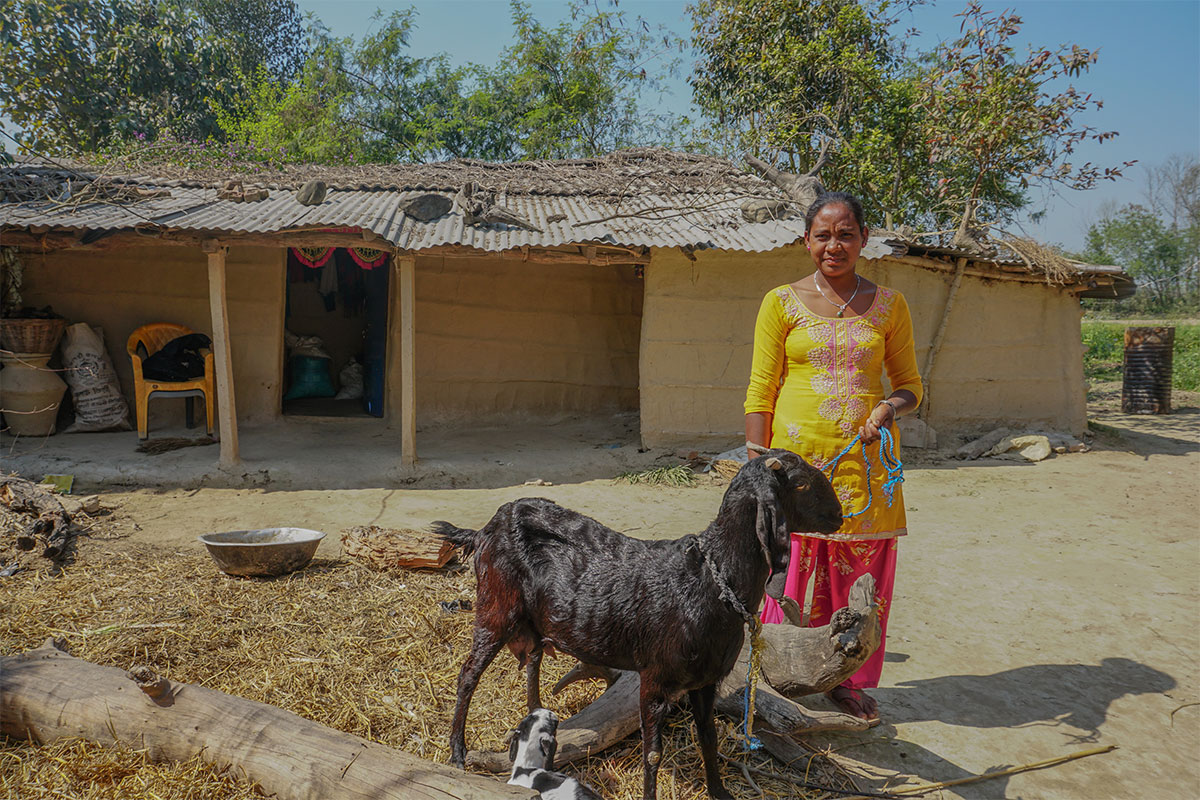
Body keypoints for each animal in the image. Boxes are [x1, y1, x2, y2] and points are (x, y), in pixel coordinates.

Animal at [434, 450, 844, 800]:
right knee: (468, 674)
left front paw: (719, 791)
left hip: (533, 623)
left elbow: (708, 736)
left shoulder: (707, 680)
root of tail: (484, 530)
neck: (710, 581)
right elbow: (652, 754)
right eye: (800, 483)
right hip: (496, 609)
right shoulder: (654, 678)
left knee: (532, 660)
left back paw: (539, 717)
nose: (840, 514)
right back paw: (458, 753)